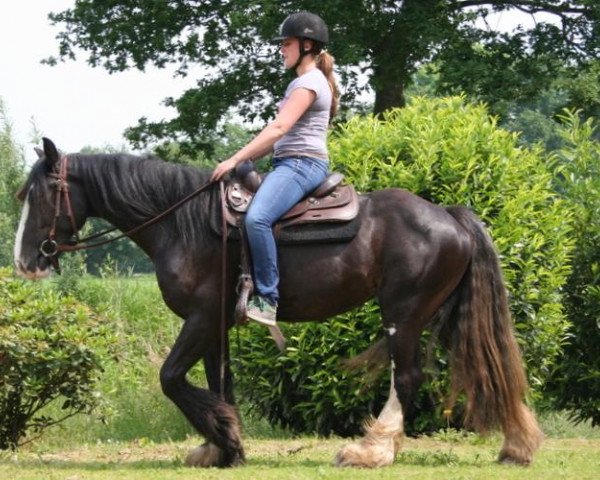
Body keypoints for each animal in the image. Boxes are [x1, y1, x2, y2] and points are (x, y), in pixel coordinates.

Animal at [14, 139, 540, 468]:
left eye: (44, 192)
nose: (24, 261)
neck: (182, 223)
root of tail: (448, 215)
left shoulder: (200, 319)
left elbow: (171, 379)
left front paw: (224, 438)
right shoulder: (215, 324)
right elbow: (218, 381)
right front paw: (223, 447)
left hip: (404, 314)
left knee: (407, 378)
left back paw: (372, 451)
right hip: (440, 313)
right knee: (488, 364)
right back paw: (517, 444)